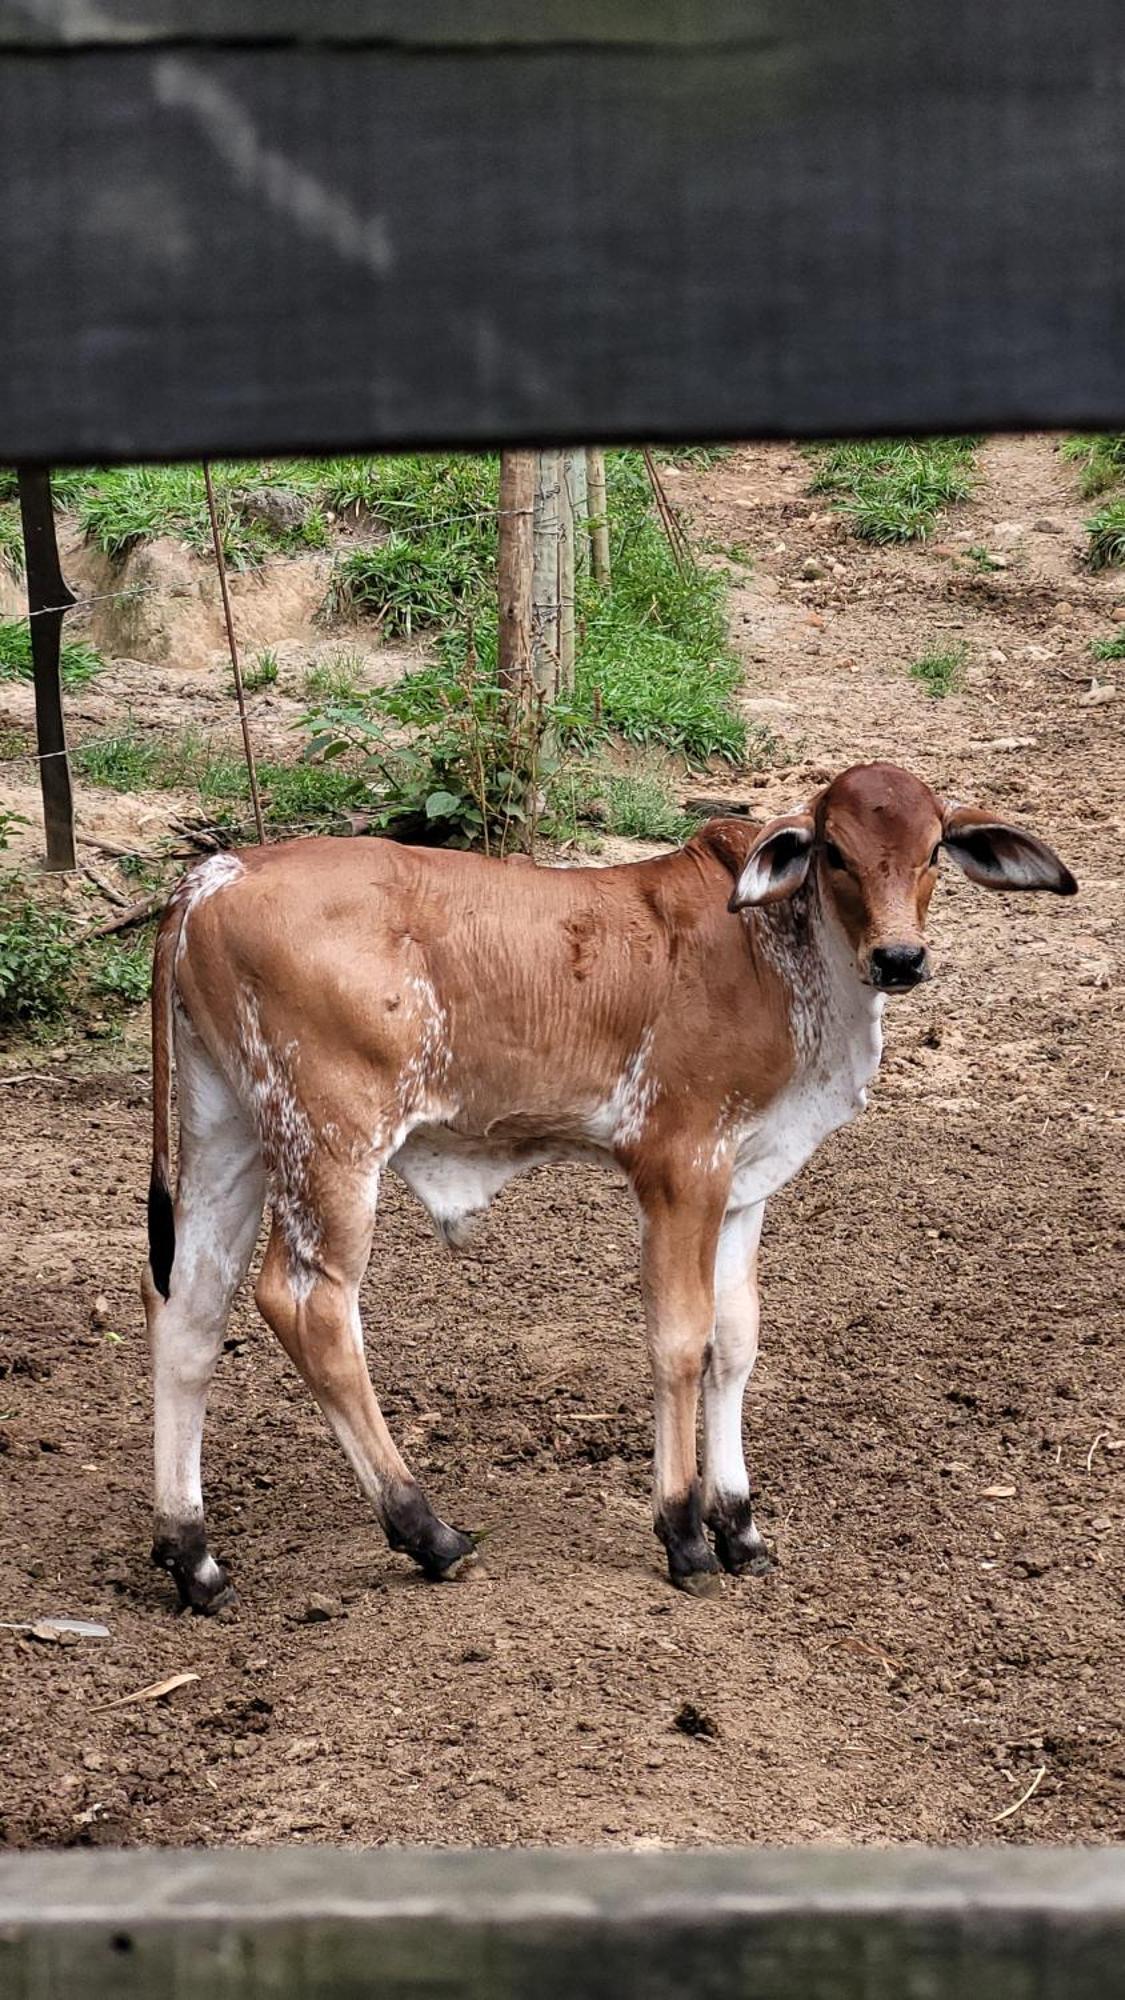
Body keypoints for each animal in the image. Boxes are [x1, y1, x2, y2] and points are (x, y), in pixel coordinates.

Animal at [144, 764, 1072, 1608]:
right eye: (834, 852)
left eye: (932, 851)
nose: (899, 957)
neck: (777, 959)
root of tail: (215, 876)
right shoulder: (679, 1166)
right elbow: (680, 1339)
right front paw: (685, 1534)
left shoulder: (745, 1184)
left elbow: (736, 1339)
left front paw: (741, 1527)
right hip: (330, 1143)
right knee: (309, 1306)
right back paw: (428, 1532)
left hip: (230, 1129)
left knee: (189, 1307)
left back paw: (193, 1556)